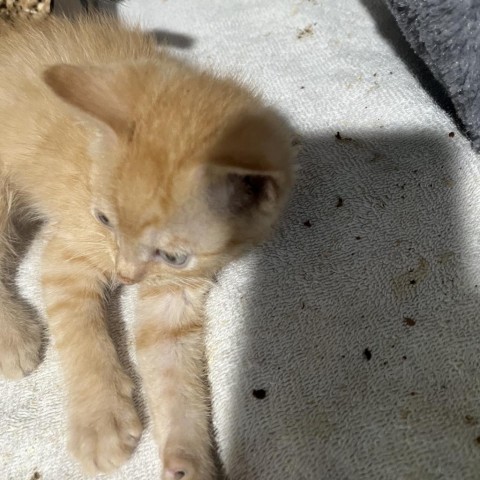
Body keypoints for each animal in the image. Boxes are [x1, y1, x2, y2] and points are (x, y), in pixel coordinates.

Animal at [0, 13, 294, 478]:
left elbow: (173, 368)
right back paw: (12, 336)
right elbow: (82, 334)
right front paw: (100, 419)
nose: (125, 275)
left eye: (172, 256)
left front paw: (188, 458)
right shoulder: (67, 254)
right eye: (103, 219)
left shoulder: (176, 292)